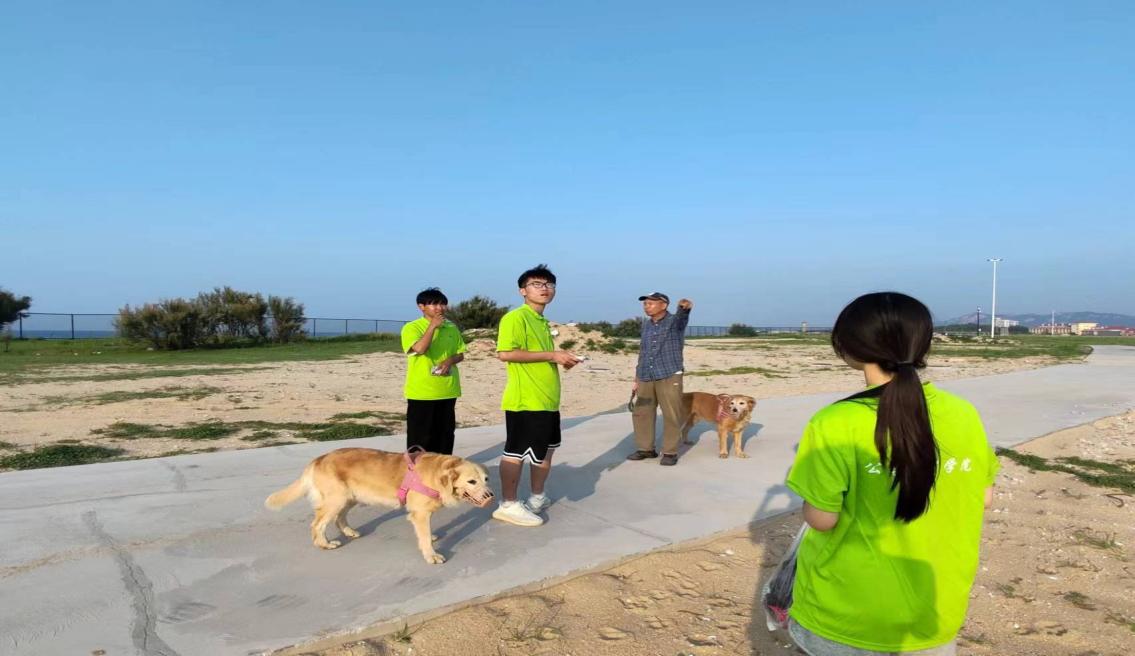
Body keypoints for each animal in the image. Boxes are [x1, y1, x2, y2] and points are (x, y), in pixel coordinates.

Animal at [265, 448, 494, 564]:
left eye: (486, 479)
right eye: (471, 481)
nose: (491, 496)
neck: (437, 474)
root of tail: (318, 459)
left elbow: (426, 533)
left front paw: (432, 537)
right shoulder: (419, 514)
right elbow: (425, 537)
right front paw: (431, 554)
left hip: (350, 497)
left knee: (339, 518)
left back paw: (349, 531)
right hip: (337, 499)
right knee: (317, 524)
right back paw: (324, 544)